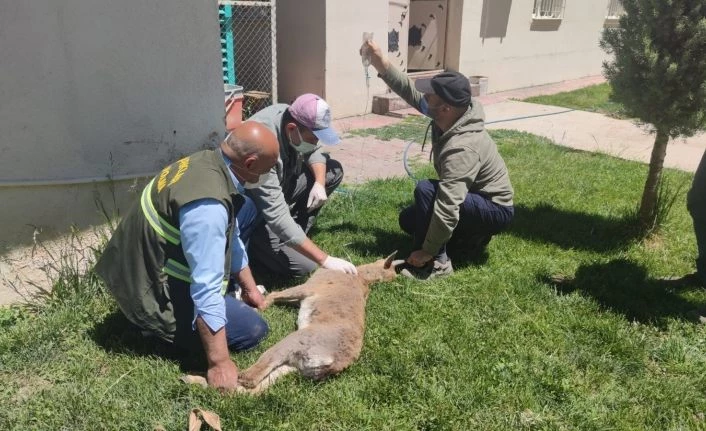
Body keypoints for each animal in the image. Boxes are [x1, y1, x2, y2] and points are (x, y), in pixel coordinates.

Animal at [238, 251, 398, 396]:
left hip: (293, 343)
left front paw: (257, 306)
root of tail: (333, 362)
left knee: (256, 375)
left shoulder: (307, 288)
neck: (361, 277)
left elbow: (275, 294)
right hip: (295, 365)